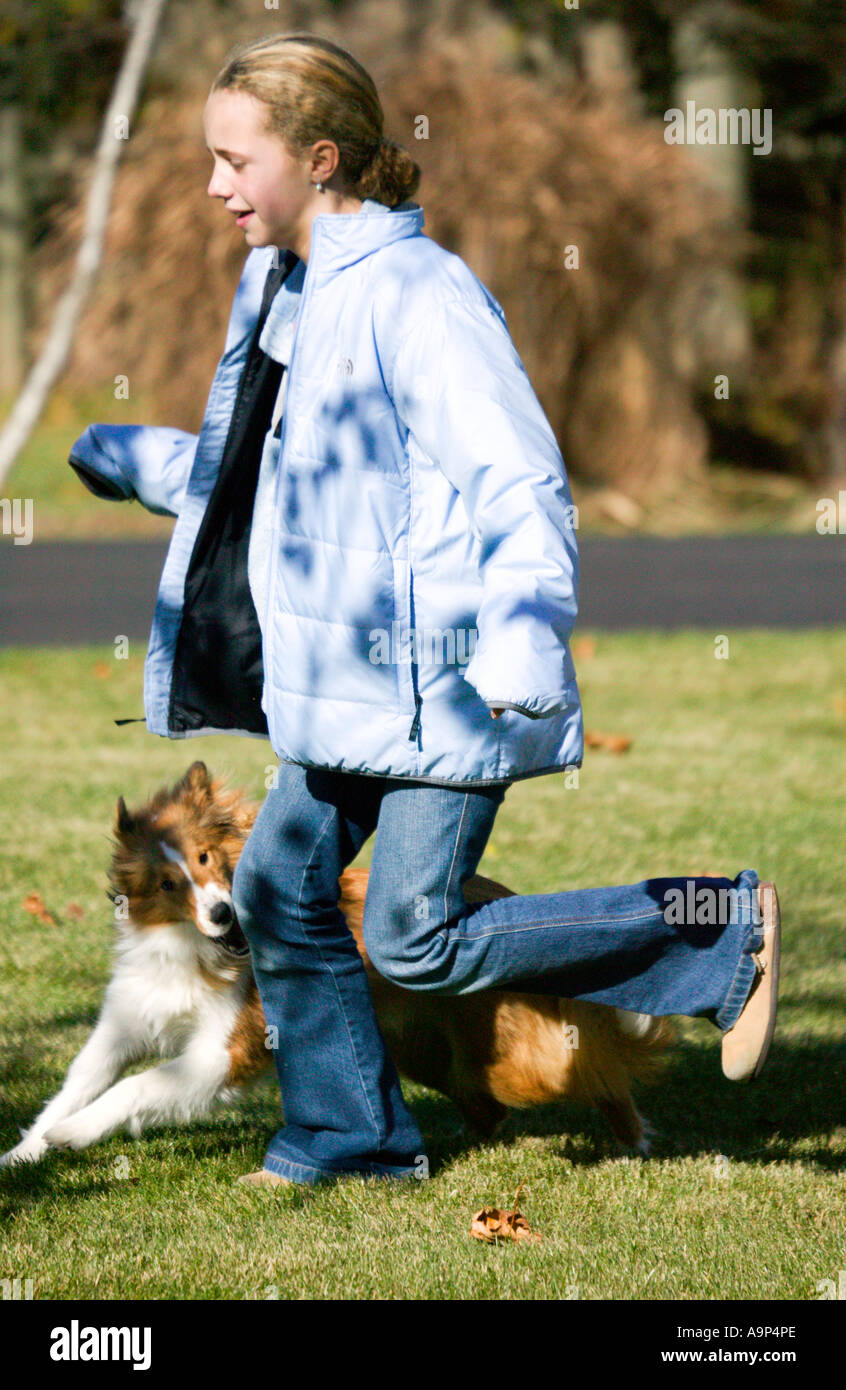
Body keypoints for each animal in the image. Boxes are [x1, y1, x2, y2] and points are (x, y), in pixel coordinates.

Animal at [3, 761, 669, 1162]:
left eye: (207, 857)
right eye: (167, 883)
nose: (221, 912)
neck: (197, 950)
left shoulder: (223, 1051)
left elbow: (136, 1088)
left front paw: (71, 1135)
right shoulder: (126, 1023)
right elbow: (78, 1083)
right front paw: (26, 1152)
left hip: (522, 1059)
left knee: (596, 1073)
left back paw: (635, 1138)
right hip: (425, 1048)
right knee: (487, 1104)